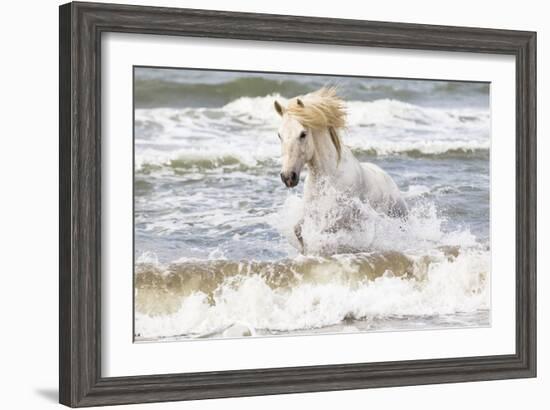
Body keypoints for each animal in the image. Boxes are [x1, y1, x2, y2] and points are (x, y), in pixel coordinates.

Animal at [274, 87, 408, 250]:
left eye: (303, 134)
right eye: (279, 135)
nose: (288, 177)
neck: (330, 176)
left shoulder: (340, 218)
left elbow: (323, 233)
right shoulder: (311, 212)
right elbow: (298, 230)